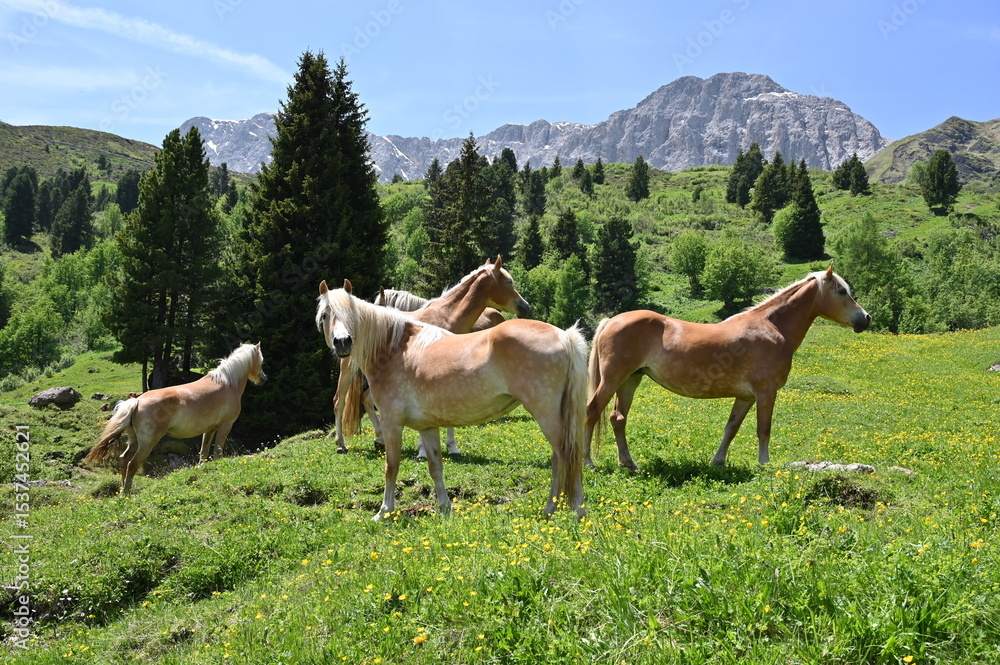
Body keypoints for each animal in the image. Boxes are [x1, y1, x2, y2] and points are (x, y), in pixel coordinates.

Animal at [84, 343, 266, 493]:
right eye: (261, 361)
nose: (263, 378)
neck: (227, 383)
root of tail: (137, 400)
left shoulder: (209, 430)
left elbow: (204, 452)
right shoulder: (225, 426)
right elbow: (218, 451)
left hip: (134, 441)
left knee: (123, 460)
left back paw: (124, 491)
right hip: (146, 444)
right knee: (132, 464)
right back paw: (126, 493)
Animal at [316, 280, 586, 520]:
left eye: (350, 313)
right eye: (325, 315)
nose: (343, 342)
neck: (393, 349)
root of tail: (564, 336)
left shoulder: (392, 423)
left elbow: (391, 467)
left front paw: (383, 512)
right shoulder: (427, 427)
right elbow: (435, 466)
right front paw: (445, 508)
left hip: (546, 416)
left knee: (567, 455)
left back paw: (576, 510)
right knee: (559, 459)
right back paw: (551, 509)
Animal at [332, 256, 530, 458]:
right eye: (509, 281)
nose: (525, 307)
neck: (446, 317)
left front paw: (452, 447)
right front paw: (423, 451)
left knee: (364, 400)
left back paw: (379, 439)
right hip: (348, 370)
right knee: (339, 401)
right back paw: (341, 444)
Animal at [585, 266, 870, 471]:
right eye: (842, 291)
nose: (865, 318)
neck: (772, 327)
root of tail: (612, 320)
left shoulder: (745, 397)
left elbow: (731, 428)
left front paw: (718, 462)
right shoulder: (766, 393)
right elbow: (763, 429)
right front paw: (764, 464)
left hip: (630, 380)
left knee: (618, 418)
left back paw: (629, 464)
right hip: (613, 380)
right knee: (592, 411)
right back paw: (588, 462)